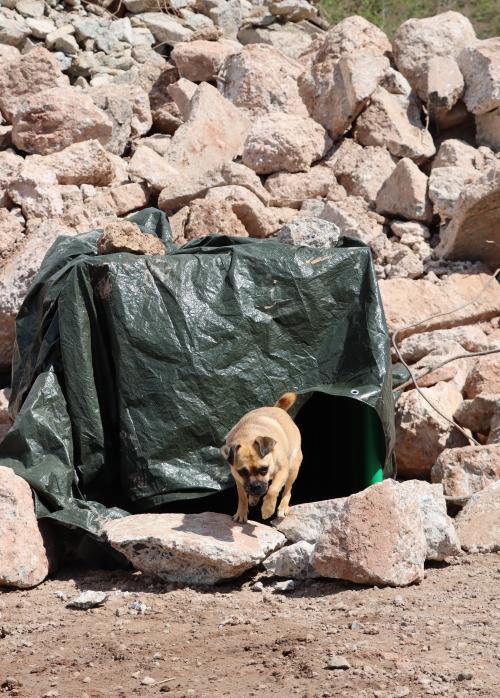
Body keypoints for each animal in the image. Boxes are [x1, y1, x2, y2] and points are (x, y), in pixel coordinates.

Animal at [221, 392, 302, 520]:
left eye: (264, 469)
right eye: (242, 472)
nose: (255, 486)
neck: (247, 436)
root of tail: (277, 408)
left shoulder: (283, 471)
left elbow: (273, 490)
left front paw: (268, 509)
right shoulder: (239, 480)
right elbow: (242, 497)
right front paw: (241, 512)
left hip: (293, 469)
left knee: (287, 490)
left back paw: (283, 507)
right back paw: (254, 498)